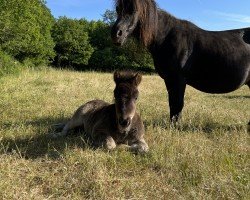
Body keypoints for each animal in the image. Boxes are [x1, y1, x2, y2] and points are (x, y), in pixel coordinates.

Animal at [112, 0, 250, 122]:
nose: (116, 34)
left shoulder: (178, 79)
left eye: (134, 10)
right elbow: (172, 103)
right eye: (117, 9)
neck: (166, 37)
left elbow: (177, 104)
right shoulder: (169, 80)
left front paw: (175, 126)